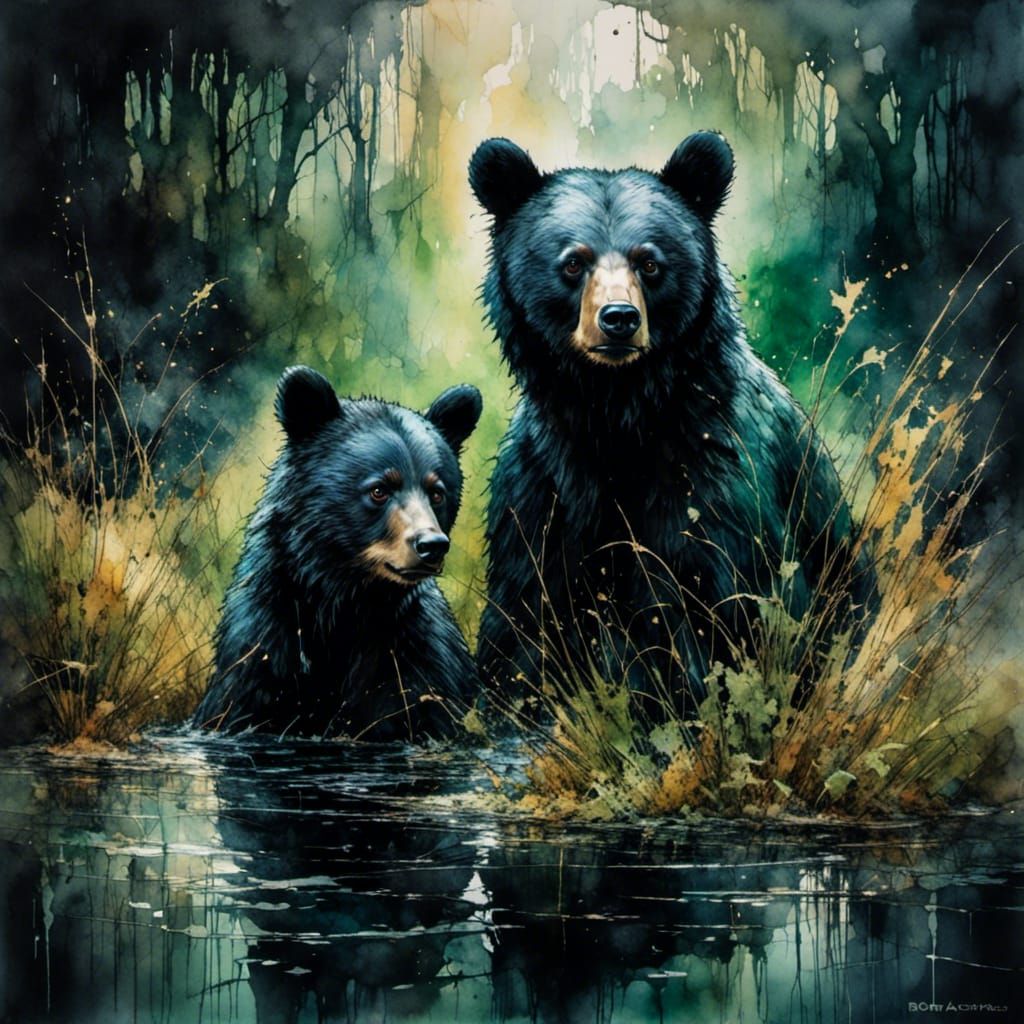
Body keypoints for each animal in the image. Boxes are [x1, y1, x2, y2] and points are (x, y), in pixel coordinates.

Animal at [193, 365, 483, 741]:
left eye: (437, 492)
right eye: (379, 489)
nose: (431, 545)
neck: (344, 604)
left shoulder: (418, 662)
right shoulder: (262, 654)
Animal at [469, 133, 873, 724]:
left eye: (650, 262)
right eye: (573, 262)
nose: (618, 319)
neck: (619, 415)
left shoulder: (713, 474)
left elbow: (732, 608)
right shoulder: (543, 490)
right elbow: (525, 616)